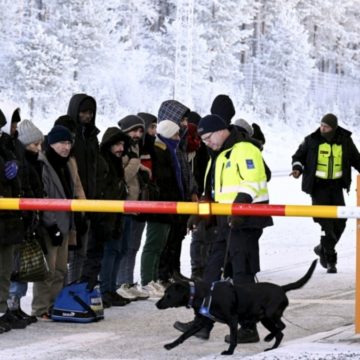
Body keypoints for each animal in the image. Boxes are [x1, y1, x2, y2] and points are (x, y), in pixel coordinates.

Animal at [156, 258, 316, 354]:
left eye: (168, 295)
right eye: (164, 293)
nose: (157, 304)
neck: (201, 294)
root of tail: (282, 288)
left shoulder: (232, 320)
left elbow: (233, 338)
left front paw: (229, 352)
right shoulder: (202, 321)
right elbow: (184, 334)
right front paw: (171, 345)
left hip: (270, 315)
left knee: (281, 327)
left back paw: (269, 339)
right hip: (265, 319)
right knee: (280, 332)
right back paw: (271, 346)